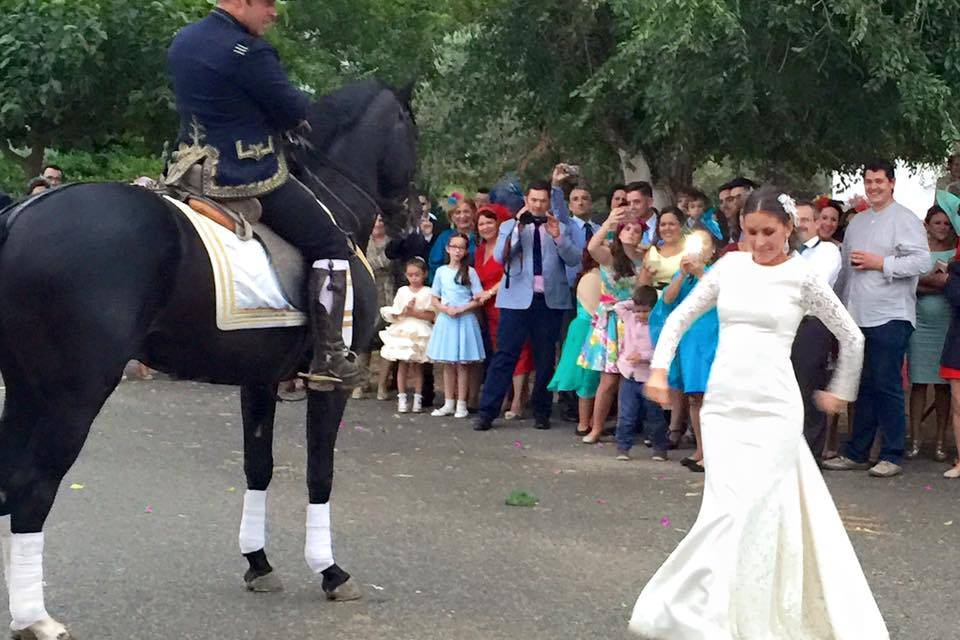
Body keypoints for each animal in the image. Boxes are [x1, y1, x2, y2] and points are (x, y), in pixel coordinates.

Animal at [0, 77, 416, 636]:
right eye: (410, 131)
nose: (405, 235)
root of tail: (20, 216)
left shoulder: (259, 381)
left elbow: (258, 467)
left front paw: (258, 562)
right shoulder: (331, 384)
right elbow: (319, 474)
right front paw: (329, 570)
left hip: (25, 388)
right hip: (72, 395)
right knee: (31, 487)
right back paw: (35, 617)